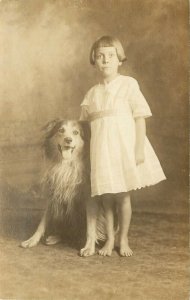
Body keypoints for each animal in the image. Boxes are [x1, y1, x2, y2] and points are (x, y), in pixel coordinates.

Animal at [21, 118, 107, 252]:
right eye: (61, 130)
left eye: (76, 132)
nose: (68, 140)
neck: (66, 164)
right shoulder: (53, 194)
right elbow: (42, 222)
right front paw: (32, 240)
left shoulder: (89, 197)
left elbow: (90, 225)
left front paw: (89, 247)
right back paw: (56, 237)